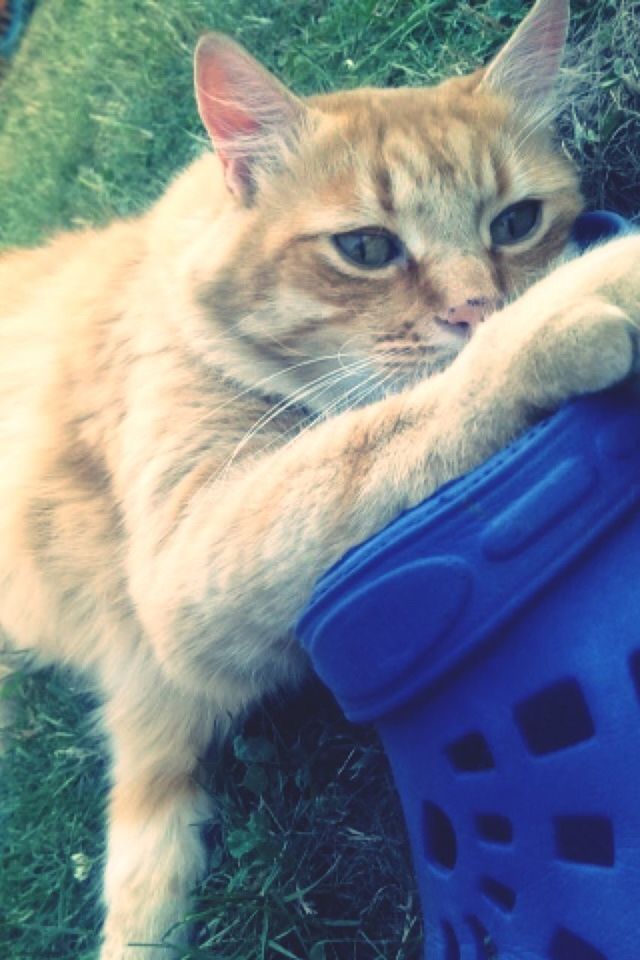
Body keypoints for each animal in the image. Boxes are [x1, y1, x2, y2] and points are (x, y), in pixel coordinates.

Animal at [0, 0, 636, 956]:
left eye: (516, 221)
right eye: (366, 247)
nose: (476, 307)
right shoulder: (191, 562)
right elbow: (385, 431)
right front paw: (585, 291)